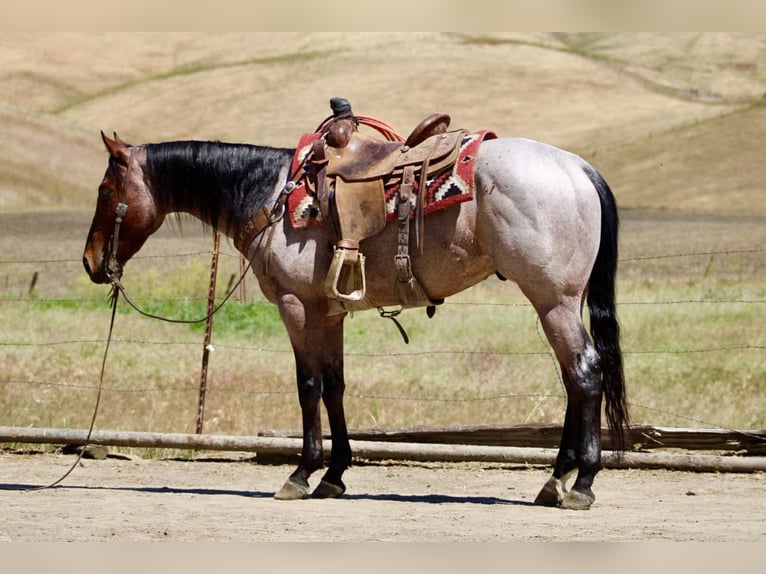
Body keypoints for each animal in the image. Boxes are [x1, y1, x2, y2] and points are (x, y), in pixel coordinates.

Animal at [83, 117, 629, 510]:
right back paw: (555, 482)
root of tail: (579, 169)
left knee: (584, 374)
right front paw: (334, 475)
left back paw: (579, 483)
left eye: (105, 192)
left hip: (553, 301)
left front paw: (301, 474)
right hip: (558, 303)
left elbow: (308, 387)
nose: (91, 263)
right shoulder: (329, 314)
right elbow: (335, 386)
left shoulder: (296, 306)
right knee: (574, 378)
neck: (271, 196)